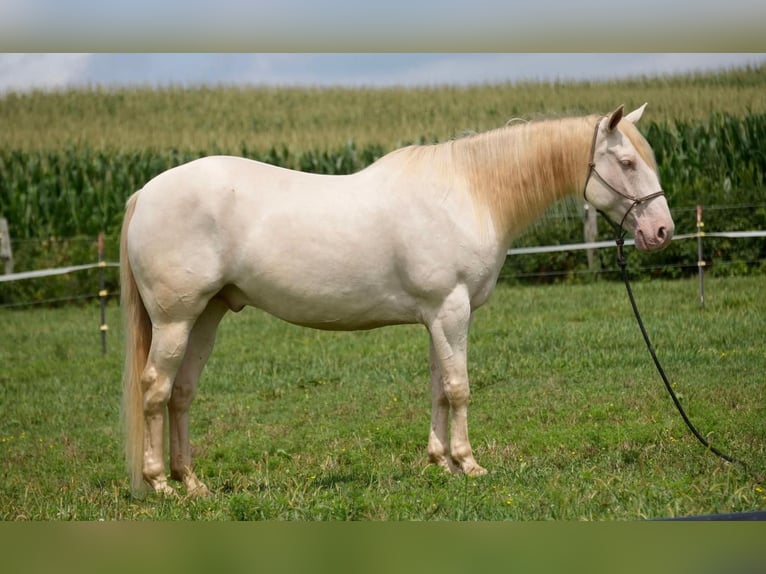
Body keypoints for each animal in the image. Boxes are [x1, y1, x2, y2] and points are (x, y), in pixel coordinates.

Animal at [118, 104, 672, 500]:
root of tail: (145, 193)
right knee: (155, 389)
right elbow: (459, 388)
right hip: (175, 319)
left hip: (206, 317)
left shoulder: (437, 317)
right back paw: (160, 483)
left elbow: (438, 389)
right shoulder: (451, 310)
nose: (661, 231)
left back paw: (192, 482)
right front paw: (469, 464)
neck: (469, 193)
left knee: (182, 393)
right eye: (627, 162)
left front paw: (440, 463)